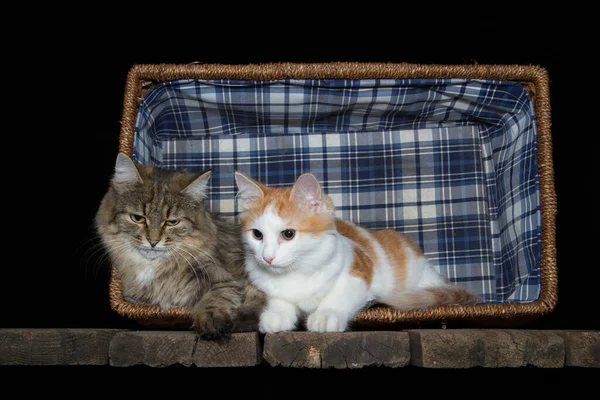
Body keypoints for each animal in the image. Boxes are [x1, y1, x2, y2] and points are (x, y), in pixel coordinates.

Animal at [95, 153, 264, 338]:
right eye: (137, 218)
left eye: (172, 222)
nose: (153, 242)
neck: (153, 266)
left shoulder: (223, 279)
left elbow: (216, 298)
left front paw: (212, 321)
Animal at [233, 170, 478, 332]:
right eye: (257, 235)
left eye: (288, 234)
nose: (267, 257)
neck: (297, 270)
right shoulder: (270, 286)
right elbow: (280, 298)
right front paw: (276, 315)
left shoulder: (359, 272)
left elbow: (339, 294)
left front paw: (326, 315)